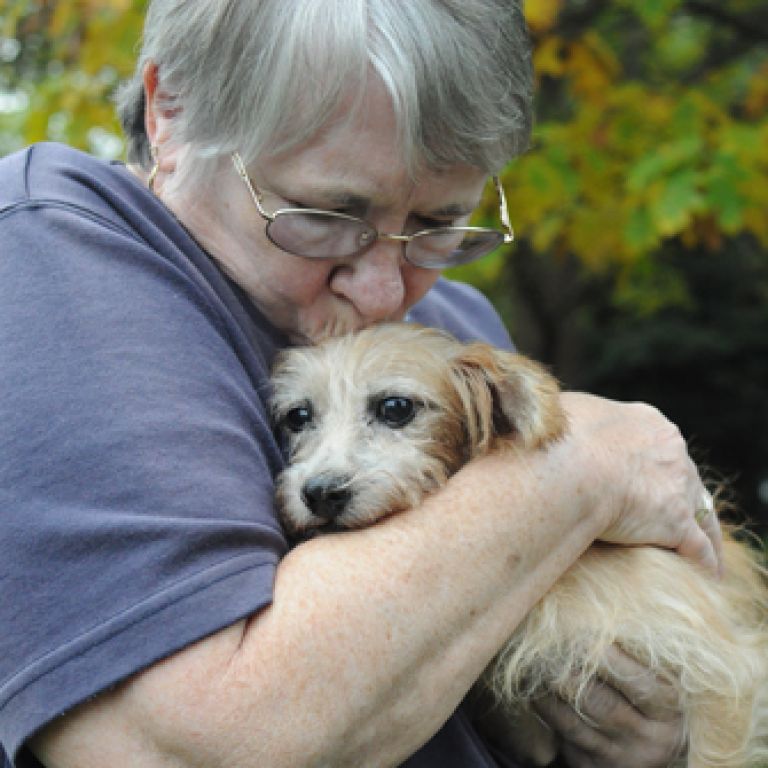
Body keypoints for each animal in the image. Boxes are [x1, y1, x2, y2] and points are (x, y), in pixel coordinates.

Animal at [270, 320, 768, 764]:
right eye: (299, 416)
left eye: (395, 407)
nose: (318, 493)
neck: (561, 581)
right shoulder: (533, 732)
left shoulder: (728, 674)